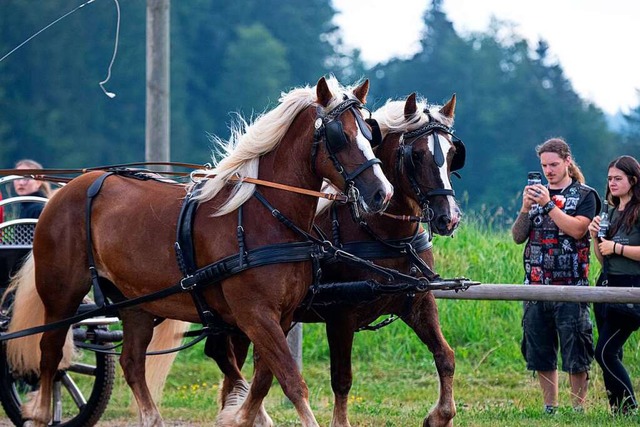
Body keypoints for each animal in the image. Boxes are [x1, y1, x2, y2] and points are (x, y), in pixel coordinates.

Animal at [5, 77, 392, 427]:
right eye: (339, 136)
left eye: (369, 133)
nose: (382, 193)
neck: (263, 214)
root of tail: (64, 190)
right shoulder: (256, 315)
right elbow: (290, 381)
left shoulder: (279, 317)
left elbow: (263, 380)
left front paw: (240, 416)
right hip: (62, 295)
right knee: (50, 354)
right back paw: (40, 414)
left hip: (134, 303)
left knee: (131, 362)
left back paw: (152, 420)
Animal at [198, 92, 462, 426]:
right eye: (416, 155)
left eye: (452, 153)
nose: (448, 218)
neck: (384, 235)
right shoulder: (341, 315)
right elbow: (342, 378)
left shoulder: (418, 301)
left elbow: (445, 356)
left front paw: (441, 415)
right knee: (227, 357)